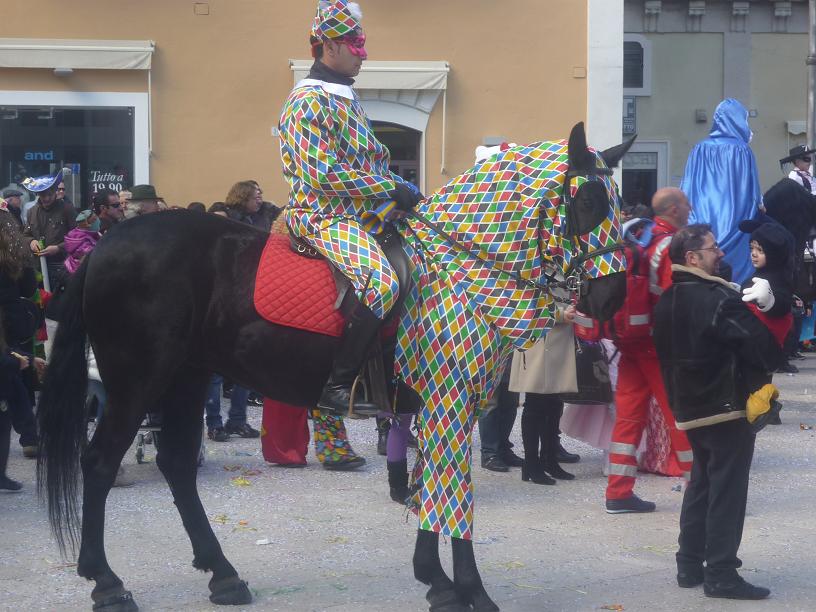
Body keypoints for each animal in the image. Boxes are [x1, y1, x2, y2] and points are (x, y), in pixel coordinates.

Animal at [38, 124, 632, 612]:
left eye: (620, 201)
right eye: (588, 201)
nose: (611, 297)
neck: (459, 268)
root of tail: (109, 242)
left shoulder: (438, 407)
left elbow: (430, 489)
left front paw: (435, 581)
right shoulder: (450, 399)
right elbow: (451, 496)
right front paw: (471, 591)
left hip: (186, 379)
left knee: (177, 466)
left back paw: (222, 574)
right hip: (136, 383)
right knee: (99, 463)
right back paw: (107, 582)